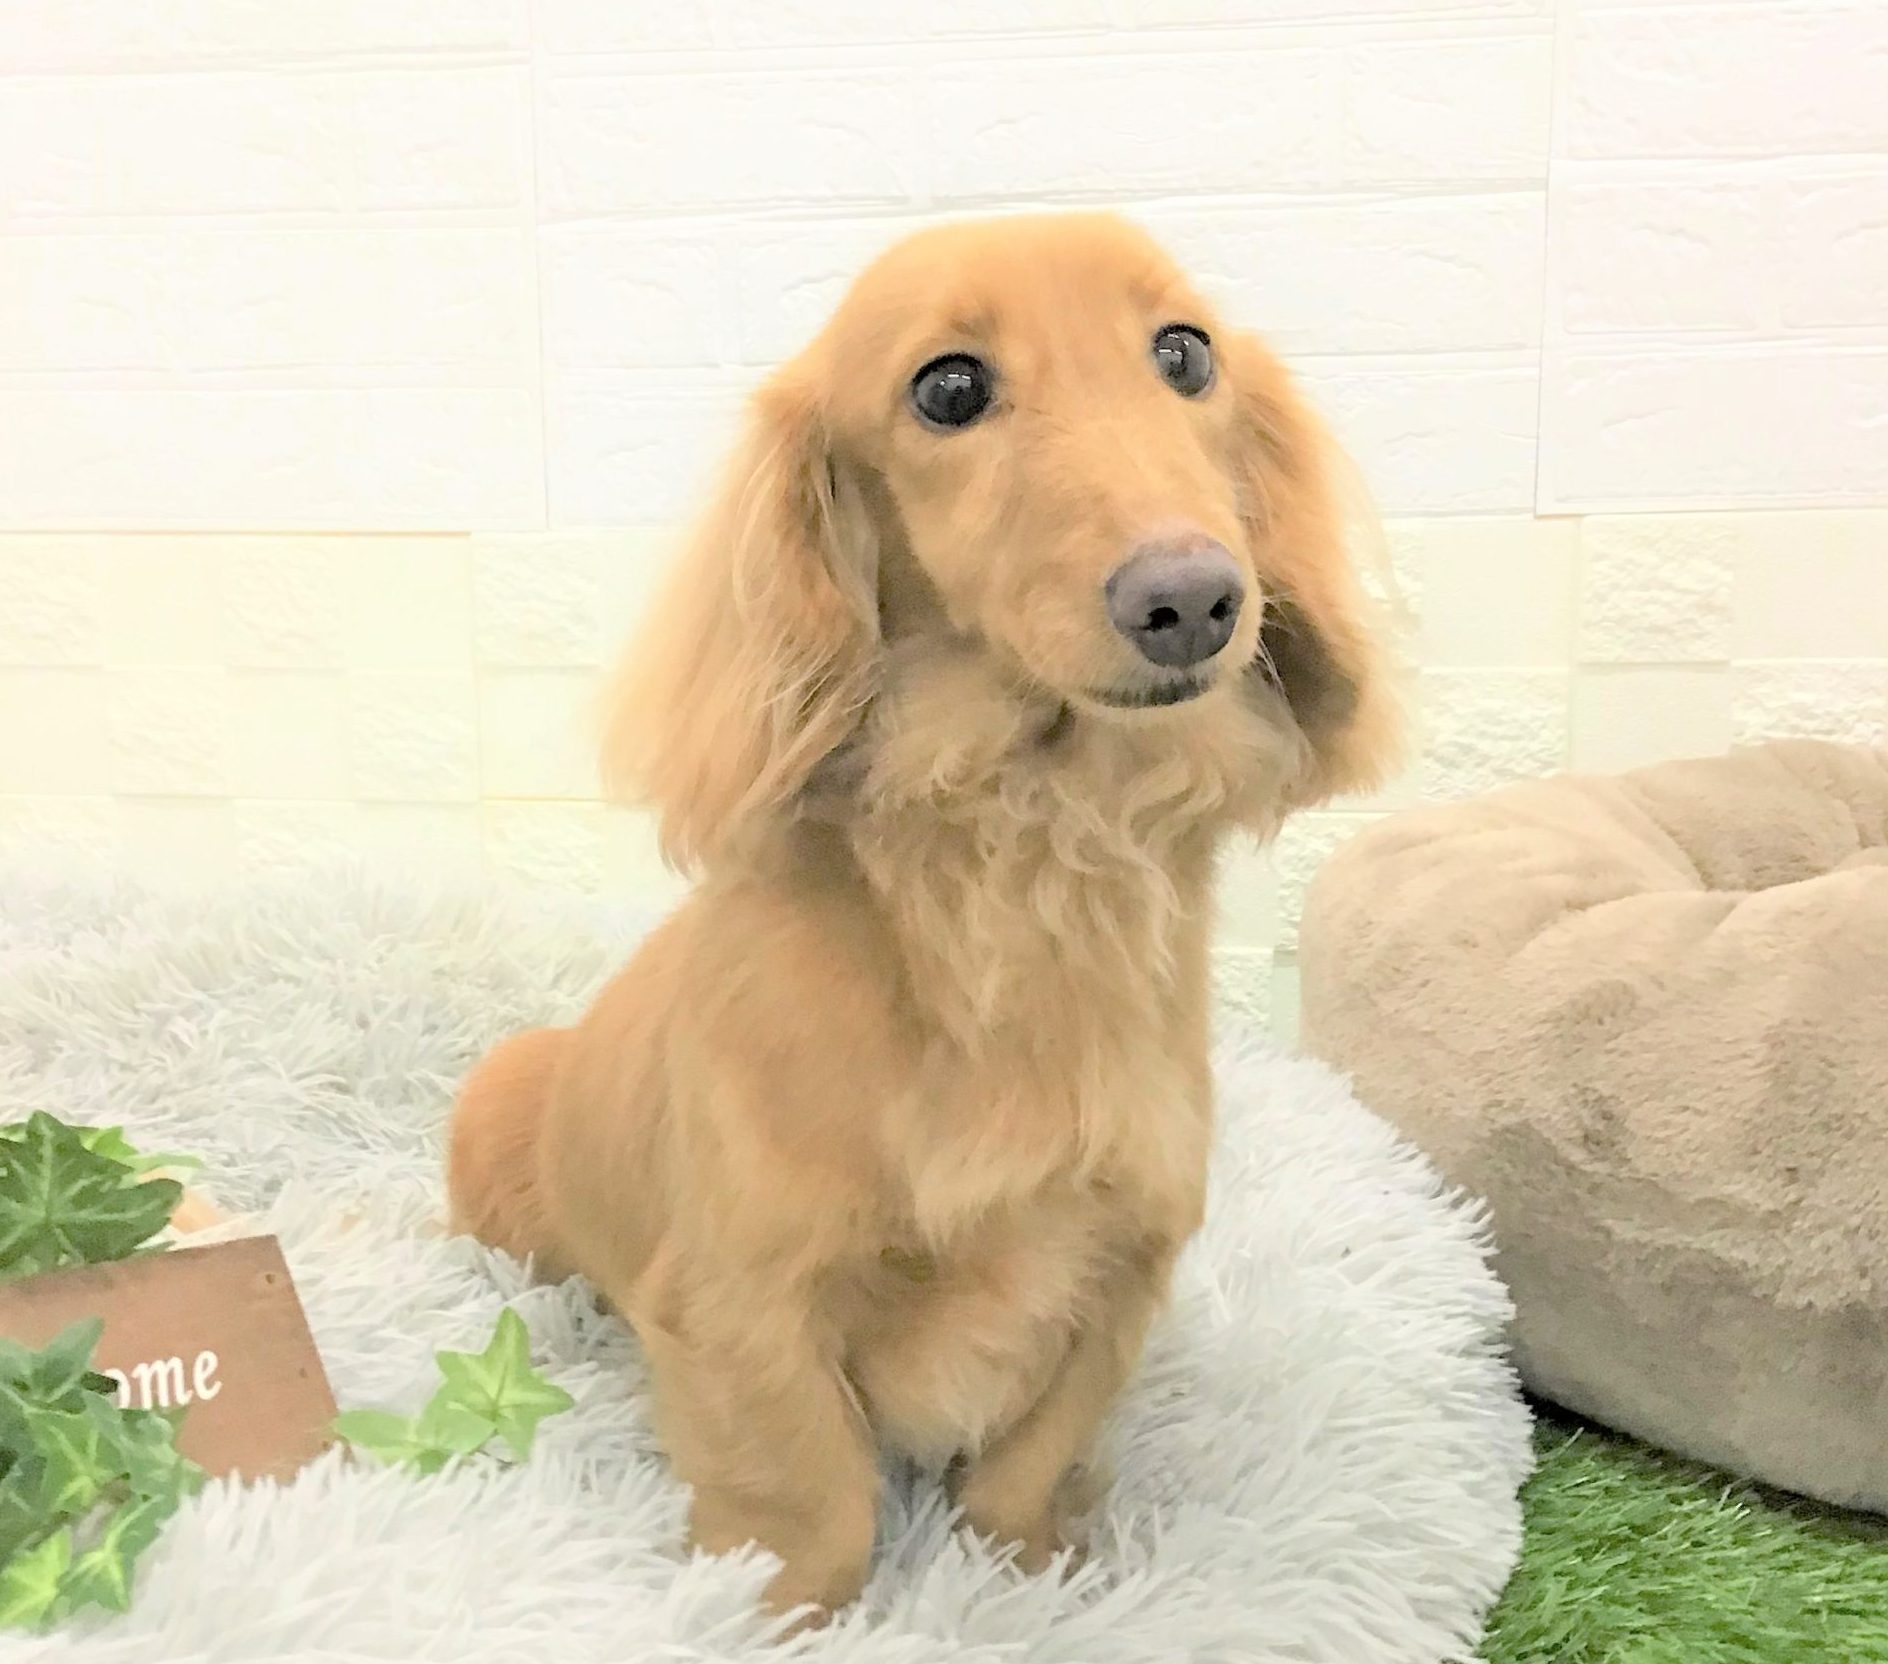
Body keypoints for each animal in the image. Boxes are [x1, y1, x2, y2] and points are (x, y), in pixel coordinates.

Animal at [447, 211, 1400, 1619]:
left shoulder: (1122, 1262)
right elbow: (809, 1493)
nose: (1191, 599)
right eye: (948, 387)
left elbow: (1027, 1460)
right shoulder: (743, 1301)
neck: (1021, 853)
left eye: (1184, 352)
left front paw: (1029, 1572)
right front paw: (776, 1612)